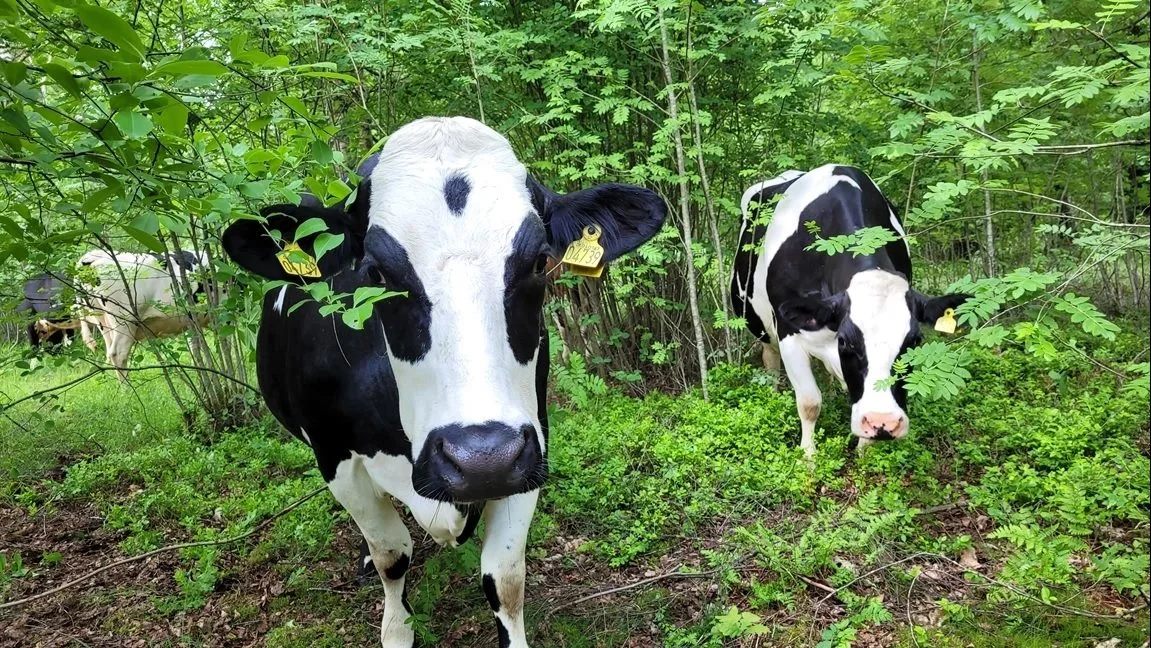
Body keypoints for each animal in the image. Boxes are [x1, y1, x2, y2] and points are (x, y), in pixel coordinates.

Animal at [219, 117, 667, 648]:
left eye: (540, 261)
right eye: (375, 272)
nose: (479, 457)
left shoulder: (529, 445)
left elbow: (504, 577)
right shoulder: (335, 458)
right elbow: (393, 554)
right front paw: (396, 629)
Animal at [732, 165, 966, 455]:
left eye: (914, 341)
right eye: (846, 341)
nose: (883, 422)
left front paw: (864, 454)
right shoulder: (789, 333)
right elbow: (809, 402)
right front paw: (808, 456)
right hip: (760, 326)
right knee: (770, 360)